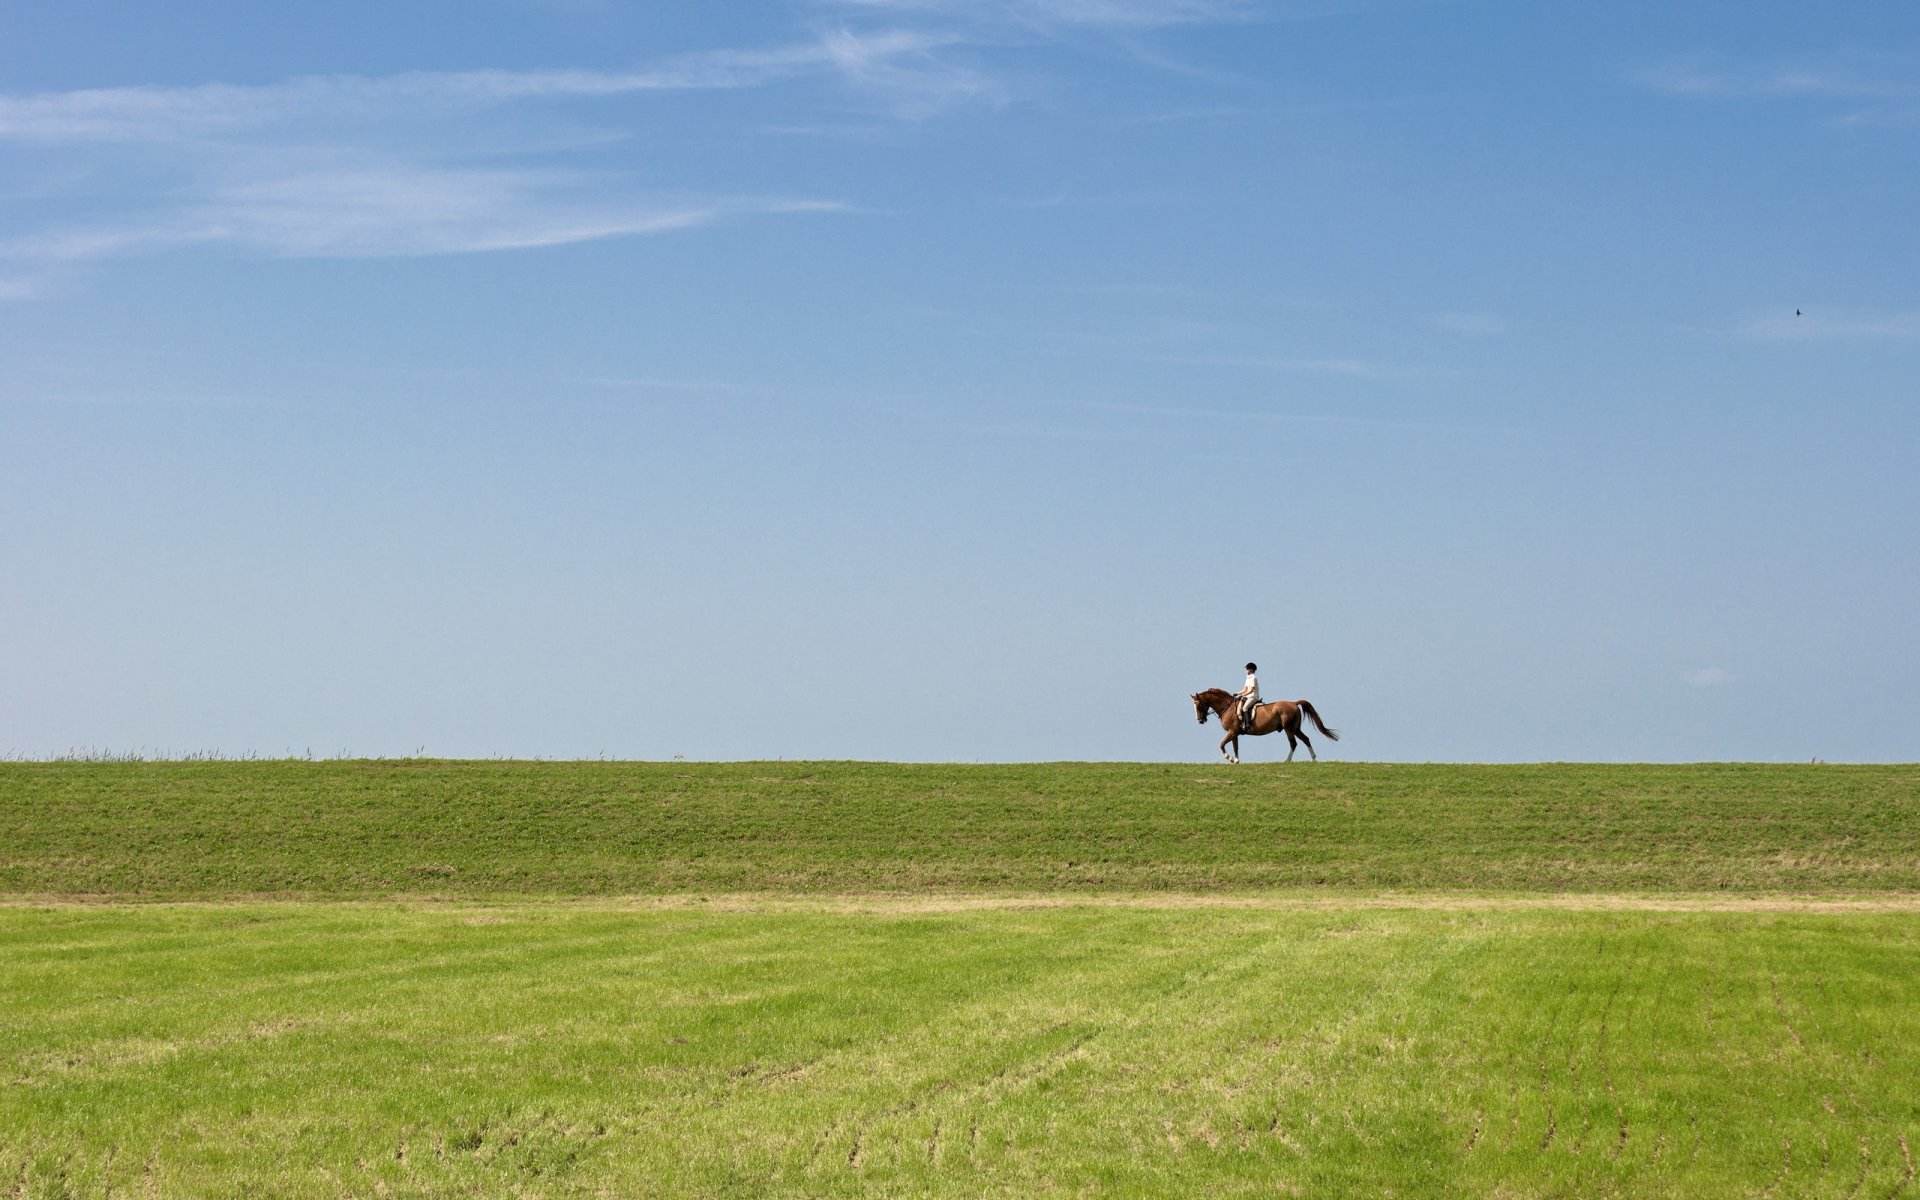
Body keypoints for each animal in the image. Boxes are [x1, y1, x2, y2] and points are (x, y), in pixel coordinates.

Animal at [1190, 687, 1344, 764]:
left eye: (1198, 705)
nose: (1200, 720)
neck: (1227, 707)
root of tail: (1294, 703)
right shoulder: (1235, 733)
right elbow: (1235, 747)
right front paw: (1237, 760)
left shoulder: (1232, 732)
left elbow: (1221, 744)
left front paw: (1230, 759)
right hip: (1295, 728)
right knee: (1306, 739)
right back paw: (1313, 759)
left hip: (1289, 729)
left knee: (1293, 743)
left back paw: (1287, 761)